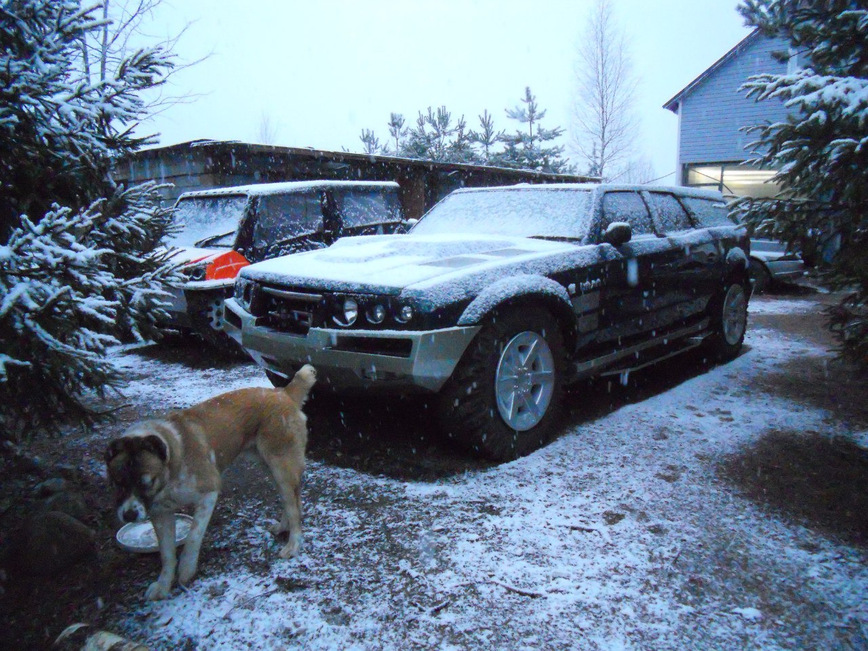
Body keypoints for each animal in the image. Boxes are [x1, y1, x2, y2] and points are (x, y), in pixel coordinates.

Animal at [105, 364, 316, 600]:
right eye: (117, 483)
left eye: (146, 482)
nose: (129, 515)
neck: (173, 460)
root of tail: (284, 393)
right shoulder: (160, 513)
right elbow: (166, 555)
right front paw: (163, 585)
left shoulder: (209, 492)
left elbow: (193, 536)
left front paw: (186, 569)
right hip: (271, 468)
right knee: (291, 502)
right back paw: (282, 526)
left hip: (281, 467)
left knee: (295, 507)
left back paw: (293, 544)